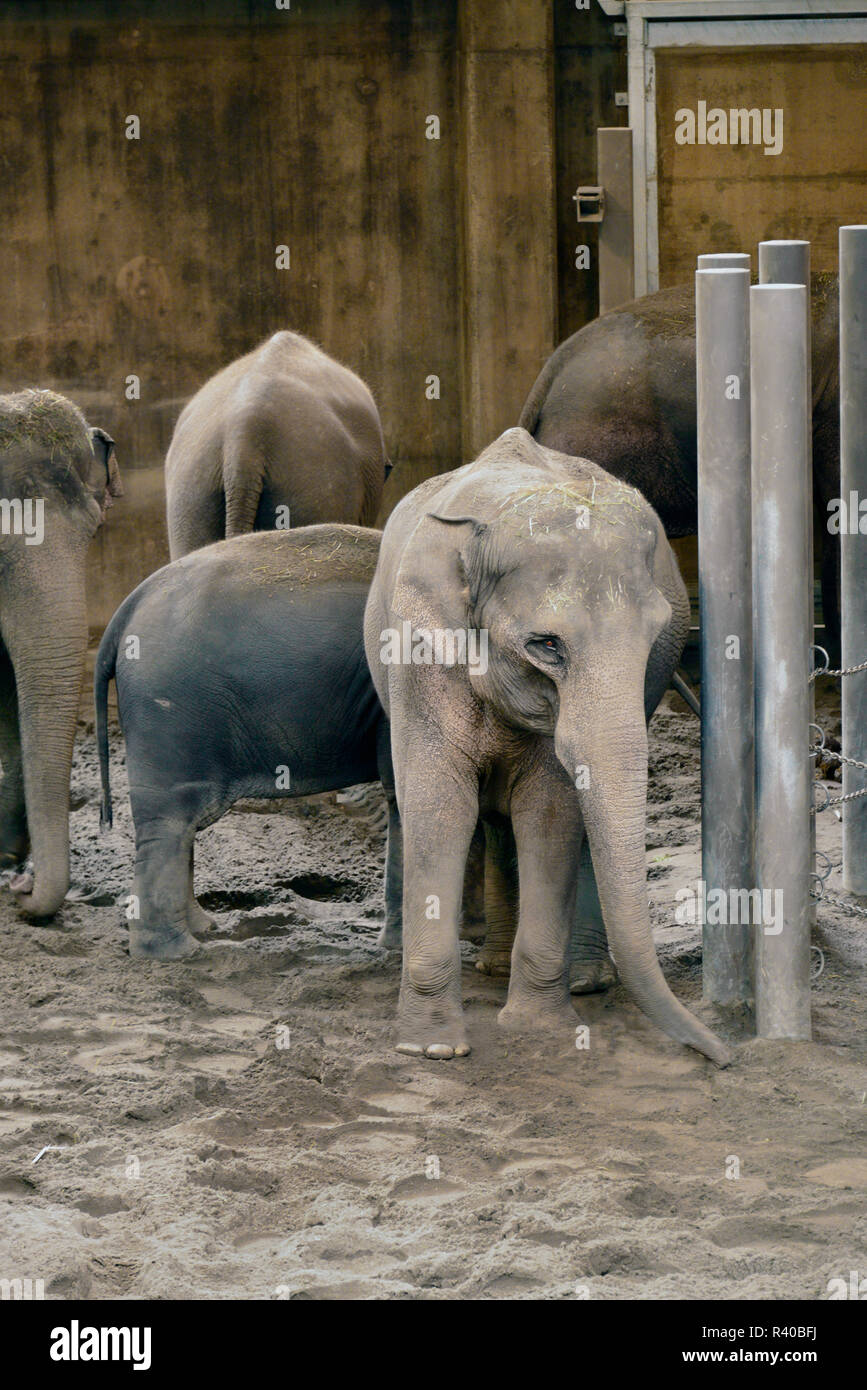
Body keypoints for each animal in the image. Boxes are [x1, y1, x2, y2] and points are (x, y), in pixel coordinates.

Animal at [364, 422, 733, 1061]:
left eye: (655, 638)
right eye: (547, 645)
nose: (724, 1055)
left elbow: (551, 811)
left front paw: (537, 1028)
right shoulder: (416, 652)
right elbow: (440, 805)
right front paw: (432, 1049)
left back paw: (581, 979)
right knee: (492, 819)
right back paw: (491, 967)